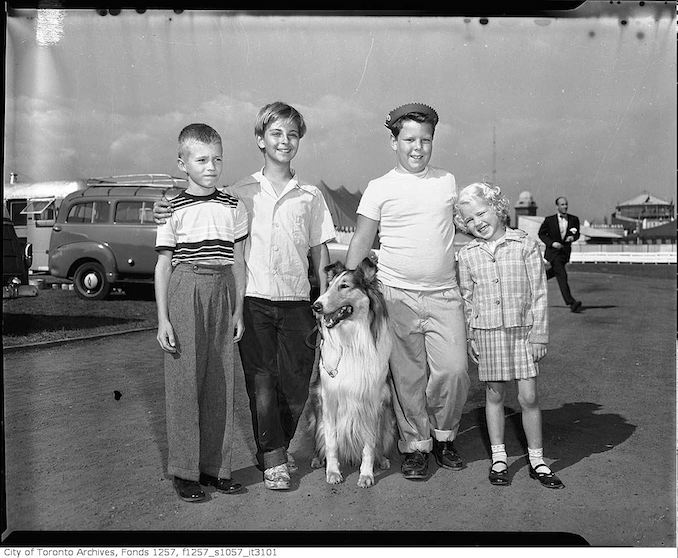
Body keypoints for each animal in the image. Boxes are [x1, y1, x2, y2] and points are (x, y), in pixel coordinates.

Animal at [310, 258, 398, 490]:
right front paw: (332, 472)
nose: (316, 306)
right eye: (329, 286)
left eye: (344, 286)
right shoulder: (329, 399)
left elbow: (369, 444)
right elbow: (331, 441)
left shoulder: (373, 402)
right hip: (316, 409)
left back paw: (382, 459)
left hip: (388, 417)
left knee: (379, 443)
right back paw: (317, 459)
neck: (351, 341)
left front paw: (366, 474)